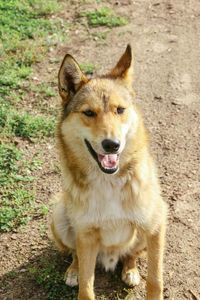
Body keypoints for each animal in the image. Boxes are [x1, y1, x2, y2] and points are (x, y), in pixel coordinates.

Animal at [50, 45, 167, 300]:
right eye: (88, 113)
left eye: (120, 110)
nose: (112, 145)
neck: (108, 181)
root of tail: (110, 257)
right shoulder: (85, 234)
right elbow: (86, 287)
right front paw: (79, 277)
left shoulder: (155, 224)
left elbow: (155, 280)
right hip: (59, 217)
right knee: (75, 255)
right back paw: (73, 271)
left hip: (146, 232)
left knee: (131, 255)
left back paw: (130, 270)